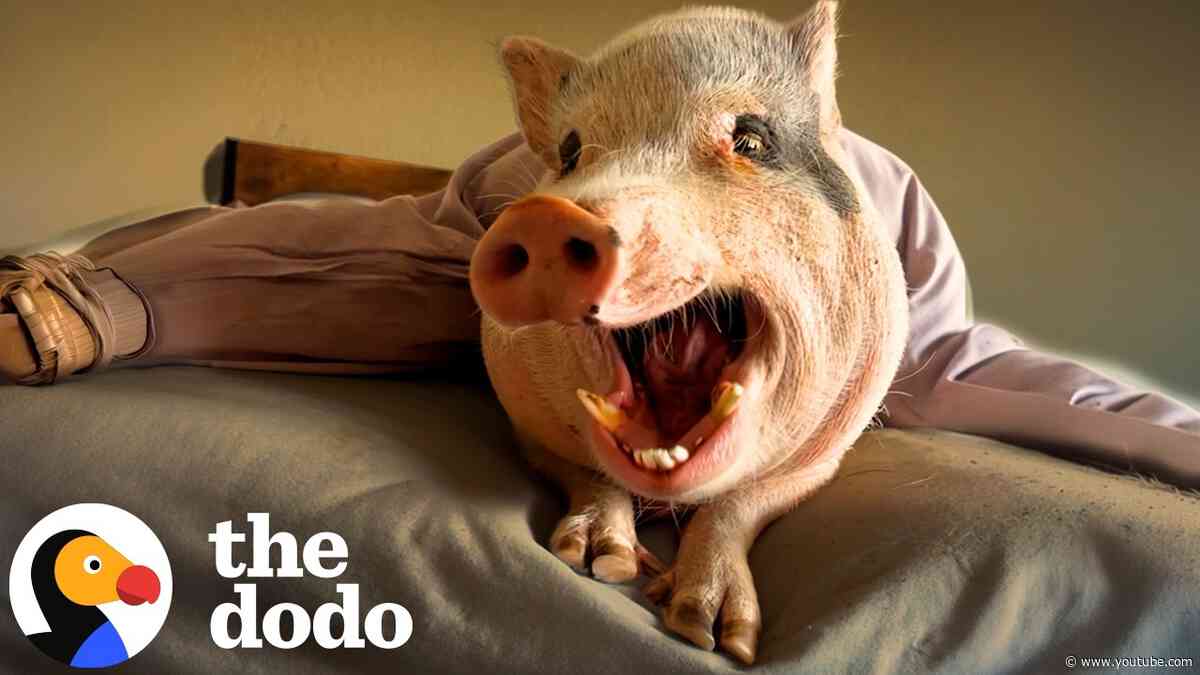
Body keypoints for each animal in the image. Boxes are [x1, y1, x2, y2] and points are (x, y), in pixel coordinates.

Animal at [470, 1, 909, 664]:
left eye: (752, 138)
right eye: (570, 154)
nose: (546, 217)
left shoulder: (828, 453)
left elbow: (740, 502)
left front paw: (714, 636)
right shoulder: (522, 417)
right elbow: (590, 474)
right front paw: (599, 563)